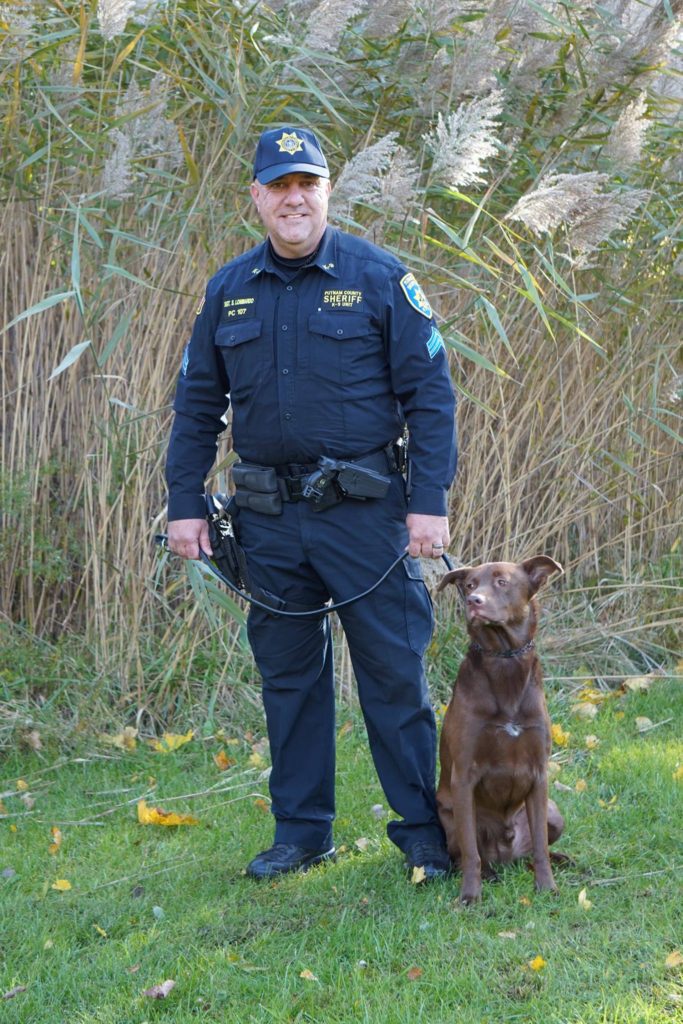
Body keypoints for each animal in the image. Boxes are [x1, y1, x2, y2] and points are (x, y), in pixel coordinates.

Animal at [438, 561, 565, 905]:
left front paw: (547, 888)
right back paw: (489, 874)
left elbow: (540, 847)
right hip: (449, 817)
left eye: (502, 582)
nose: (474, 602)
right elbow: (471, 853)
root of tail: (507, 854)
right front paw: (470, 896)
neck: (504, 660)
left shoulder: (539, 774)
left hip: (554, 812)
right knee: (467, 854)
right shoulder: (463, 777)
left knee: (535, 849)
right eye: (469, 585)